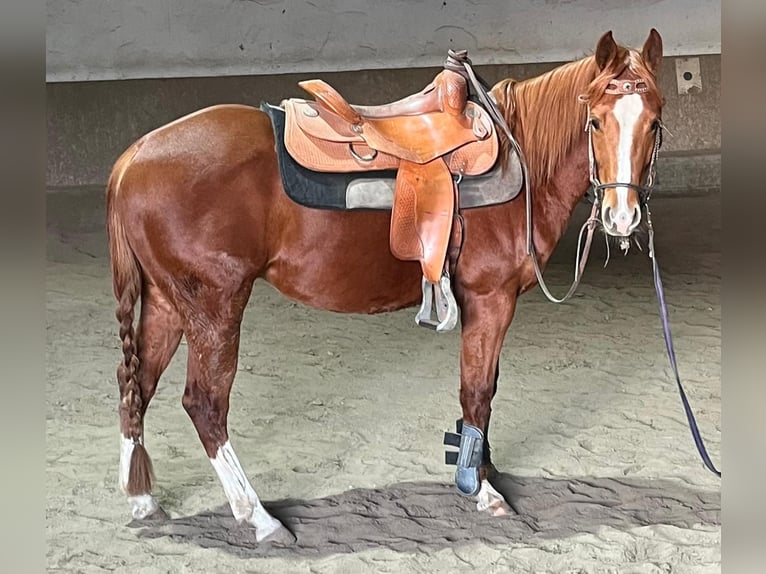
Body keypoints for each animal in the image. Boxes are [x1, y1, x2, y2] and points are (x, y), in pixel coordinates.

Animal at [107, 29, 665, 544]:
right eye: (596, 121)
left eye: (655, 122)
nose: (622, 218)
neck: (521, 157)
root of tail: (135, 156)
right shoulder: (491, 299)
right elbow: (478, 391)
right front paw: (481, 488)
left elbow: (487, 387)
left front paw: (482, 467)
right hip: (214, 307)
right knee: (204, 404)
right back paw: (258, 517)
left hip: (167, 303)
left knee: (137, 386)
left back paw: (142, 501)